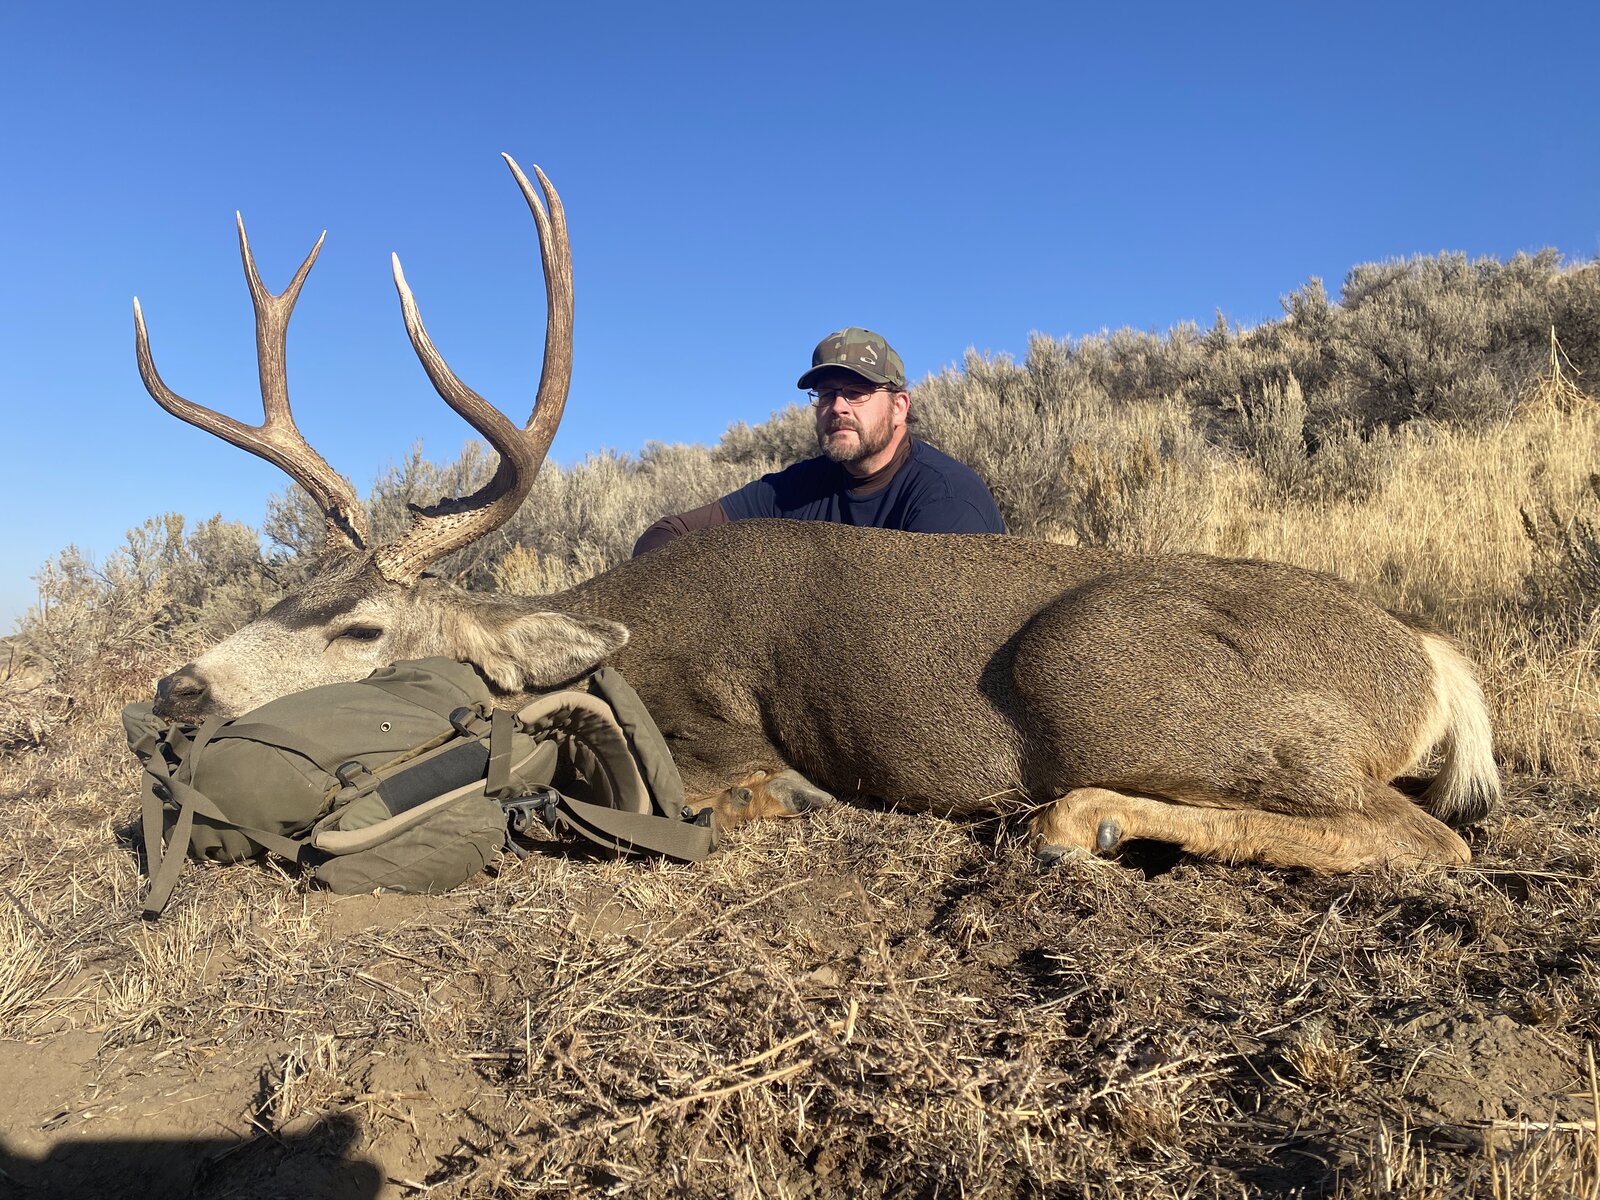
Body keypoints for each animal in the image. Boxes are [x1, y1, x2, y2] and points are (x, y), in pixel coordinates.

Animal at [134, 154, 1499, 872]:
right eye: (283, 596)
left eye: (360, 630)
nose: (176, 689)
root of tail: (1430, 660)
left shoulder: (717, 738)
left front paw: (794, 808)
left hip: (1096, 671)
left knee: (1423, 838)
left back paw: (1088, 820)